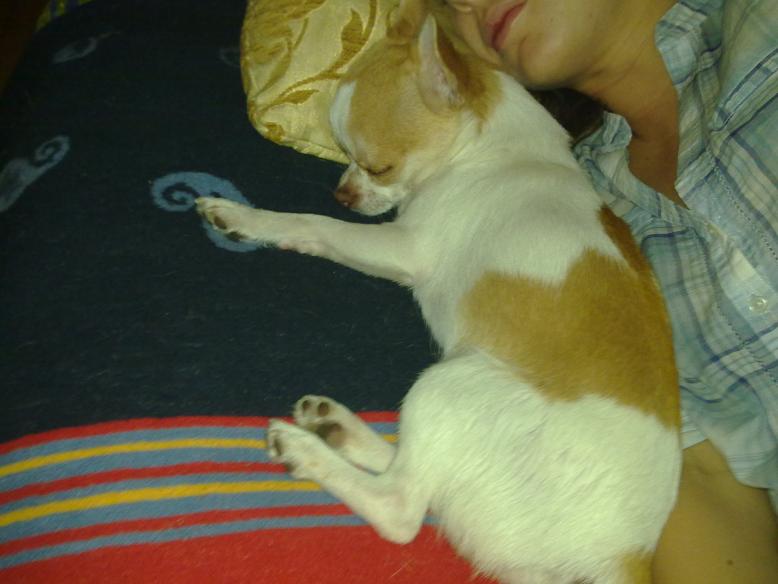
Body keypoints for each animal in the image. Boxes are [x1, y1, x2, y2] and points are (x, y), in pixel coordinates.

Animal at [196, 3, 681, 582]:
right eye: (343, 156)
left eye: (378, 165)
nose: (341, 192)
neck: (491, 151)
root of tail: (623, 558)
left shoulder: (404, 247)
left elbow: (313, 225)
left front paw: (246, 217)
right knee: (418, 475)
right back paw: (337, 428)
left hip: (447, 387)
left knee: (401, 507)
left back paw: (305, 450)